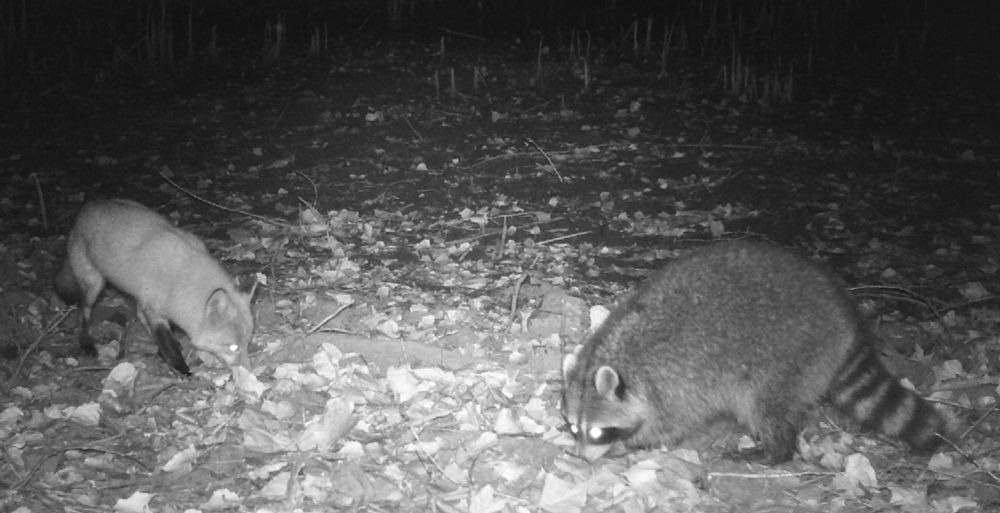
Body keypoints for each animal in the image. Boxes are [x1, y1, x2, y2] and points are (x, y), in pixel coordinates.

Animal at [56, 199, 253, 375]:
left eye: (247, 343)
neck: (179, 276)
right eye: (233, 347)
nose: (248, 371)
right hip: (94, 285)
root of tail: (88, 206)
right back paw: (86, 344)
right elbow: (168, 344)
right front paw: (182, 369)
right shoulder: (155, 312)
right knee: (83, 311)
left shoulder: (150, 305)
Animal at [562, 240, 955, 463]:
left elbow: (669, 426)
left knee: (766, 405)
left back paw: (774, 452)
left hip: (791, 355)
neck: (618, 356)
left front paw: (632, 444)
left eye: (598, 433)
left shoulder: (674, 389)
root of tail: (845, 318)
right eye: (573, 428)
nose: (581, 458)